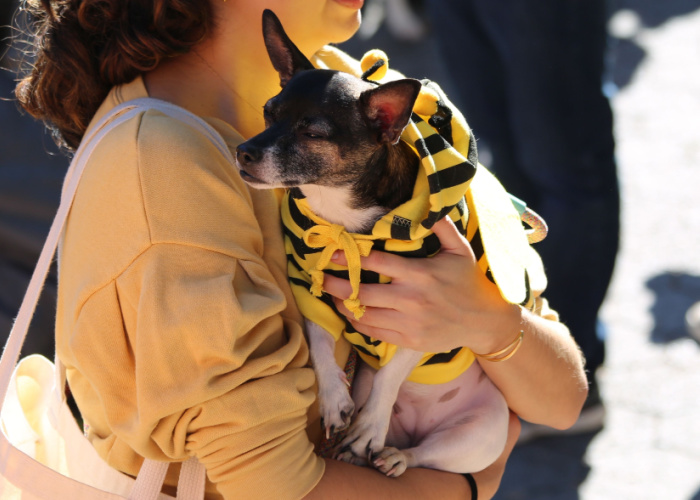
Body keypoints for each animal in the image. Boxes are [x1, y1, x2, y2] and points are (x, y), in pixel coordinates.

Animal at [235, 8, 508, 476]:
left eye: (312, 134)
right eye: (269, 114)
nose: (243, 151)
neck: (345, 217)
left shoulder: (428, 317)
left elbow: (392, 373)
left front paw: (369, 426)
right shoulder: (309, 288)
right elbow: (320, 341)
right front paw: (332, 397)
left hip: (484, 433)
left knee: (425, 453)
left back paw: (393, 454)